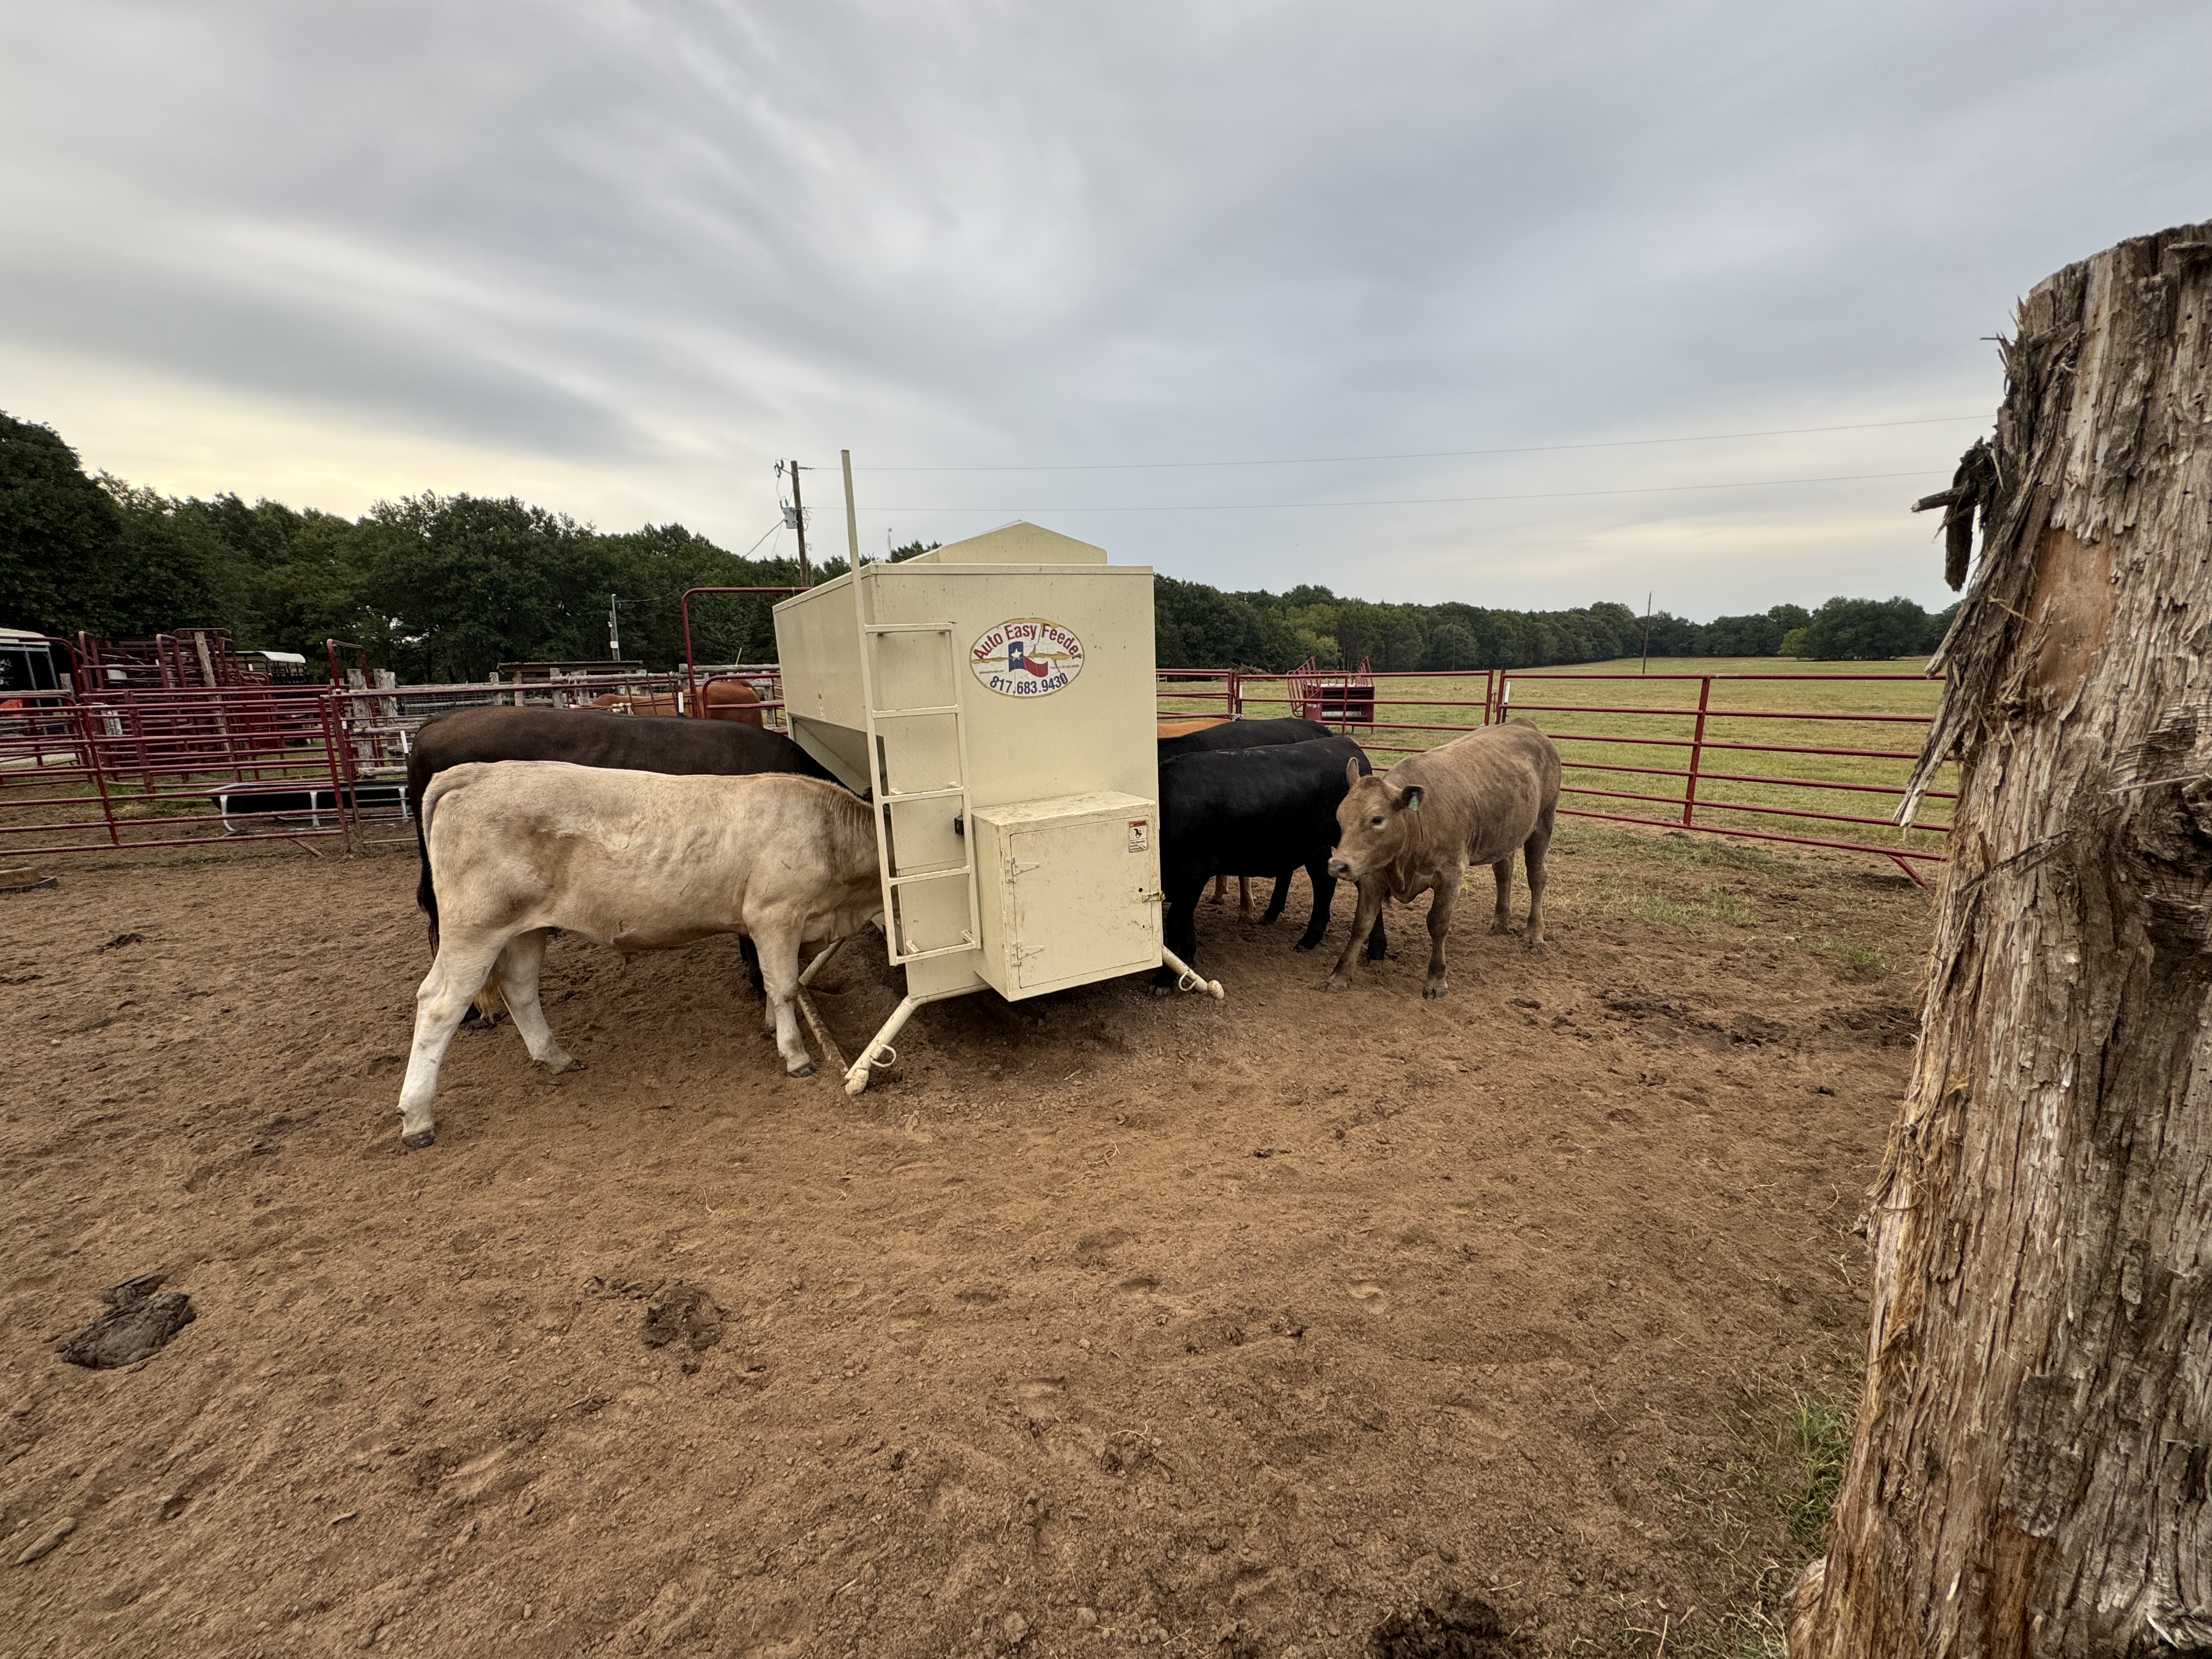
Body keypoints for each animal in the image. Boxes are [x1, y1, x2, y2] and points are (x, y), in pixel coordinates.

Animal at [398, 765, 880, 1141]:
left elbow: (774, 981)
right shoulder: (775, 915)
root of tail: (475, 772)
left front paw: (770, 1027)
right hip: (475, 929)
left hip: (523, 931)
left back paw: (556, 1058)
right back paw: (418, 1117)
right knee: (439, 1005)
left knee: (519, 989)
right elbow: (783, 986)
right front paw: (795, 1055)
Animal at [1159, 738, 1380, 995]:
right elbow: (1186, 920)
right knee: (1331, 884)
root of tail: (1345, 743)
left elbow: (1175, 922)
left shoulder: (1192, 872)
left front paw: (1163, 980)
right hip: (1320, 848)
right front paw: (1187, 957)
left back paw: (1368, 947)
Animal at [1318, 716, 1566, 1000]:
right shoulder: (1374, 873)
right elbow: (1362, 922)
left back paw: (1535, 933)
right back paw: (1501, 921)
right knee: (1504, 871)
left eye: (1377, 819)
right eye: (1340, 817)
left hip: (1543, 822)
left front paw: (1436, 980)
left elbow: (1438, 923)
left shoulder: (1450, 874)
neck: (1417, 821)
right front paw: (1339, 975)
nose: (1338, 865)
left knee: (1537, 876)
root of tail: (1525, 724)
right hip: (1505, 833)